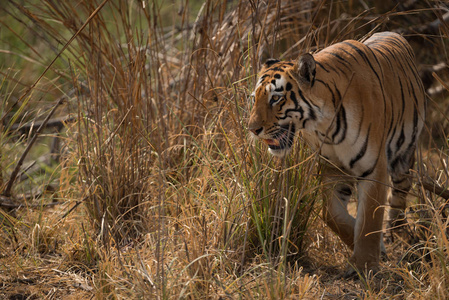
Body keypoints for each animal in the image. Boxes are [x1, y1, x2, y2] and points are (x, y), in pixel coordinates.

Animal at [247, 31, 426, 274]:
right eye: (254, 98)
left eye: (276, 98)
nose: (252, 129)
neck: (323, 126)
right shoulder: (332, 168)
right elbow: (332, 215)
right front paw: (369, 249)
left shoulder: (372, 169)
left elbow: (369, 221)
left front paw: (364, 265)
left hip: (403, 158)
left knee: (397, 197)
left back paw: (395, 231)